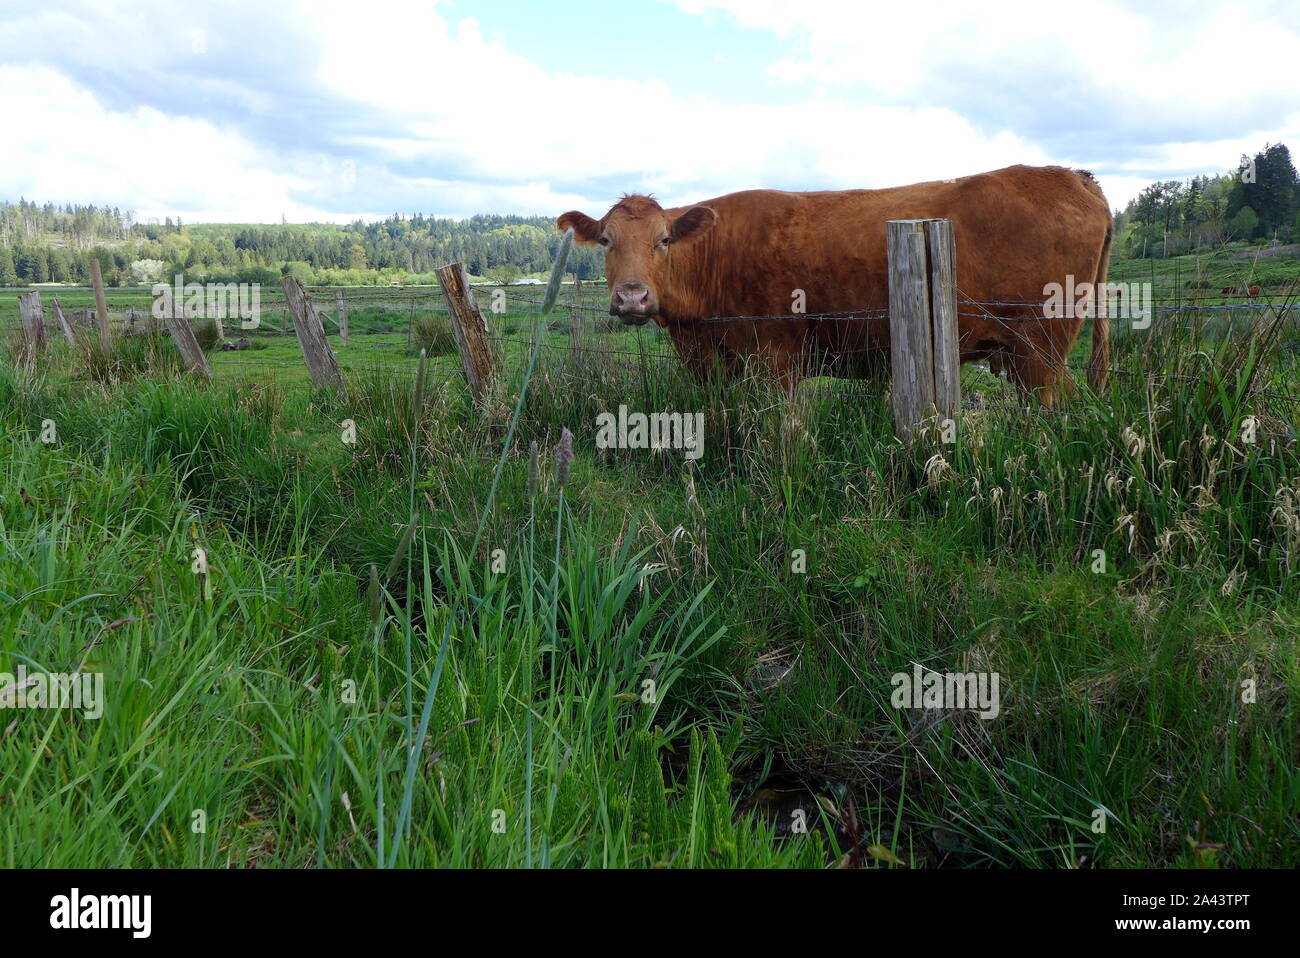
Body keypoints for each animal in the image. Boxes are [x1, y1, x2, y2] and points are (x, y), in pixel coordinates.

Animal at [553, 164, 1112, 402]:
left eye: (665, 240)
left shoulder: (776, 360)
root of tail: (1071, 174)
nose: (632, 296)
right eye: (605, 240)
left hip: (1040, 350)